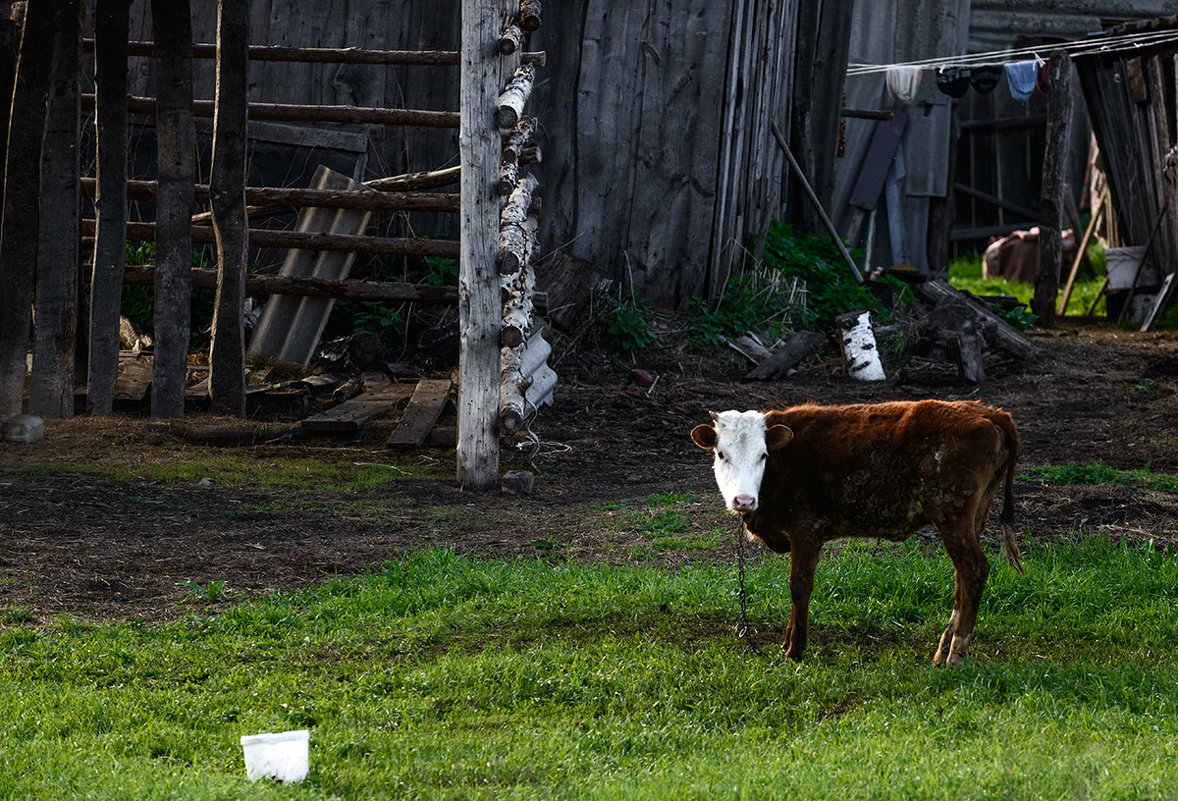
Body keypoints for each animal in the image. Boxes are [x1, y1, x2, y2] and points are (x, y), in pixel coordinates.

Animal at [687, 398, 1022, 664]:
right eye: (721, 454)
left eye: (763, 455)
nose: (743, 500)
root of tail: (988, 412)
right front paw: (787, 641)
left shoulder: (807, 530)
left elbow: (799, 586)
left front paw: (794, 650)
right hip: (973, 514)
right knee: (961, 577)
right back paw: (942, 651)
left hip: (953, 512)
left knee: (974, 570)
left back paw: (956, 654)